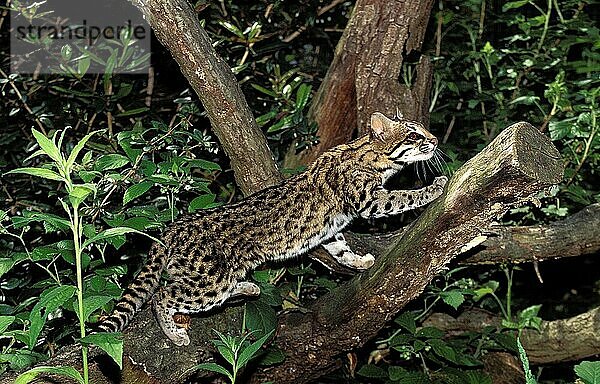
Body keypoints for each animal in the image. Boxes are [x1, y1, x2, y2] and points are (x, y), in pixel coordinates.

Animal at [99, 111, 446, 344]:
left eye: (424, 130)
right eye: (414, 135)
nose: (436, 140)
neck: (370, 157)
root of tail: (173, 228)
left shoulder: (332, 227)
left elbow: (339, 246)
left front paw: (358, 261)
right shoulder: (370, 199)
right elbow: (403, 196)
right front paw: (434, 188)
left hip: (220, 275)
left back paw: (249, 288)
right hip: (209, 280)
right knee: (162, 296)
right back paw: (173, 333)